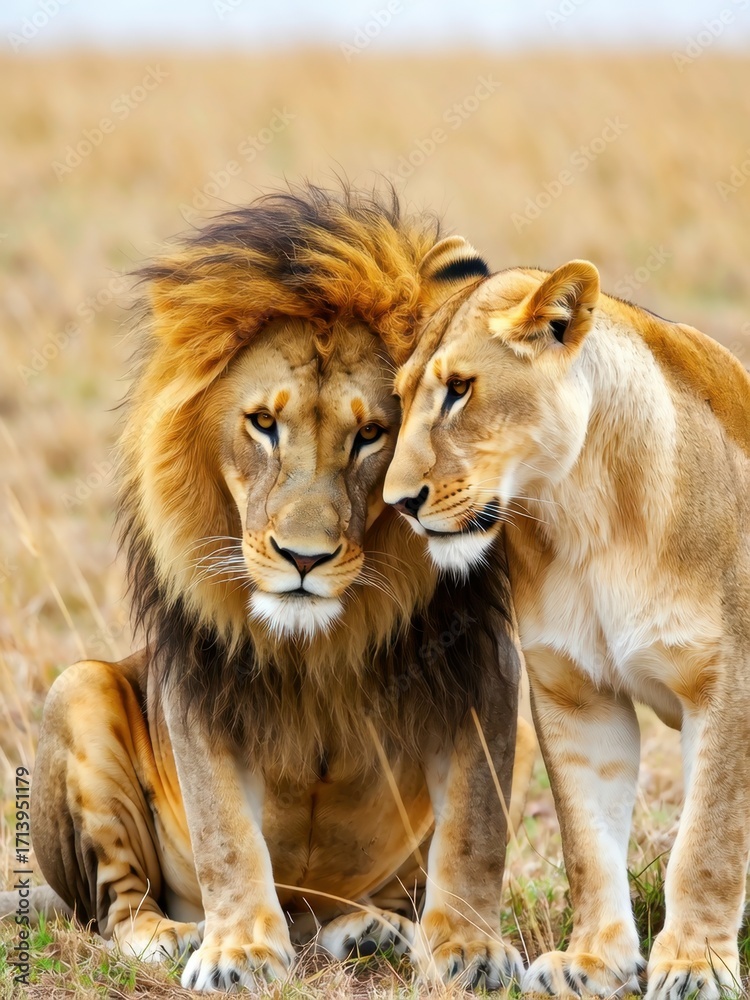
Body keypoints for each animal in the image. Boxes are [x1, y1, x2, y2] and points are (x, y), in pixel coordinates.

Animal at [21, 188, 536, 992]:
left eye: (372, 434)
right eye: (263, 423)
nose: (303, 557)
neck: (323, 638)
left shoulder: (483, 669)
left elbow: (476, 831)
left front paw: (472, 950)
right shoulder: (200, 684)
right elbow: (228, 835)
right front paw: (238, 953)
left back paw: (376, 928)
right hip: (78, 688)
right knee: (114, 906)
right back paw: (168, 935)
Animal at [384, 260, 750, 1000]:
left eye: (460, 389)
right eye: (402, 398)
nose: (398, 503)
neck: (584, 510)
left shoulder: (728, 679)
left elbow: (710, 838)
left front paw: (696, 965)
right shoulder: (575, 693)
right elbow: (587, 839)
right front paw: (594, 961)